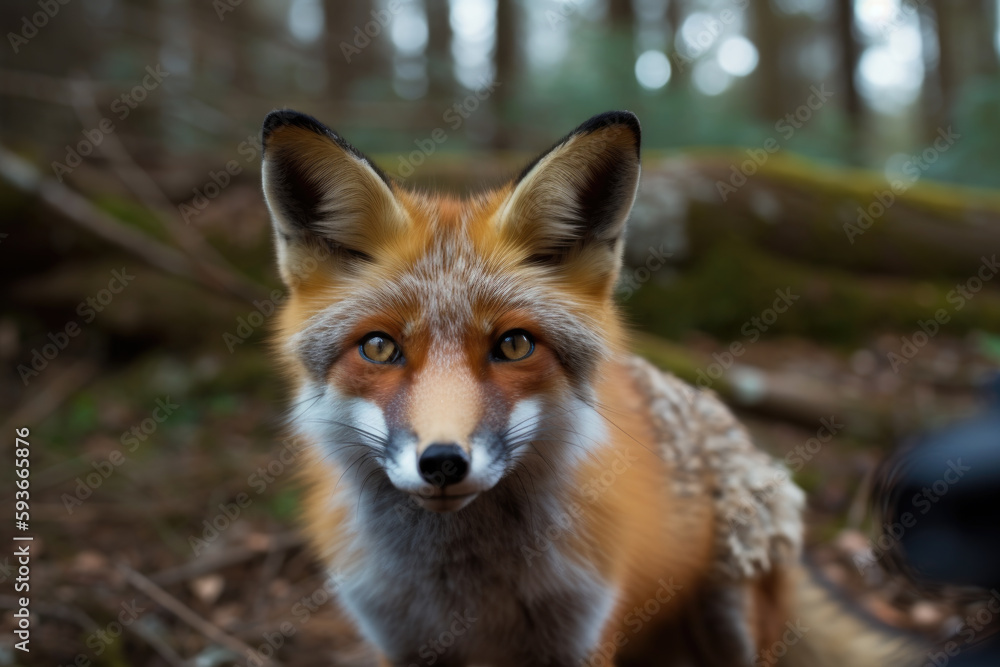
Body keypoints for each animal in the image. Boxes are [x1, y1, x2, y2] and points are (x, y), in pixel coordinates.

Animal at [260, 108, 926, 667]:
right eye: (378, 347)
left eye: (515, 345)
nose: (443, 462)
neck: (466, 598)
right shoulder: (402, 644)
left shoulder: (581, 638)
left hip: (730, 620)